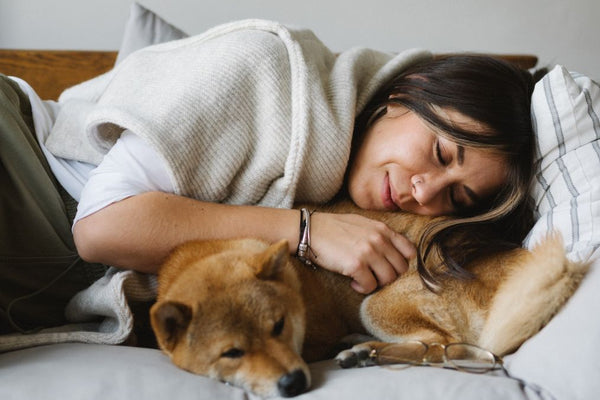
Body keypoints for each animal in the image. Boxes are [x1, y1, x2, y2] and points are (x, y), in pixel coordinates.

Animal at [149, 202, 584, 398]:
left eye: (279, 326)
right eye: (232, 353)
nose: (293, 383)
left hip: (375, 305)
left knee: (443, 347)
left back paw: (365, 351)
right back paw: (361, 350)